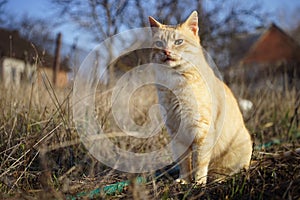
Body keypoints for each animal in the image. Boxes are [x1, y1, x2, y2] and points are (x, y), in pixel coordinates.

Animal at [149, 11, 252, 185]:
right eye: (159, 43)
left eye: (178, 42)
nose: (166, 51)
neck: (175, 84)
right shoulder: (177, 133)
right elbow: (184, 162)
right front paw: (184, 181)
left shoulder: (201, 130)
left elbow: (200, 161)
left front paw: (198, 183)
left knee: (230, 170)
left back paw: (218, 178)